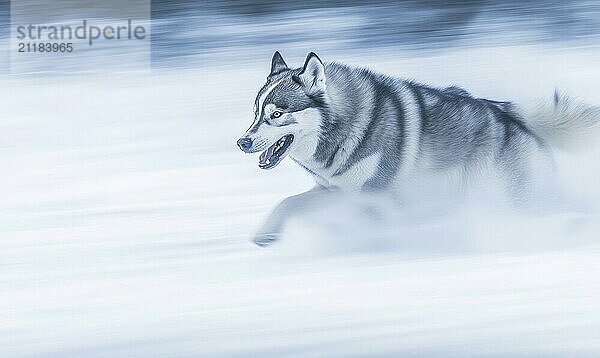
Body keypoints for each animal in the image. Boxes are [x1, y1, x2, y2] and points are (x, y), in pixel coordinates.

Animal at [237, 51, 596, 246]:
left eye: (276, 114)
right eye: (255, 113)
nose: (242, 142)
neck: (343, 128)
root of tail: (511, 114)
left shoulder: (377, 198)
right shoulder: (335, 191)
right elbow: (287, 203)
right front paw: (266, 233)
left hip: (503, 194)